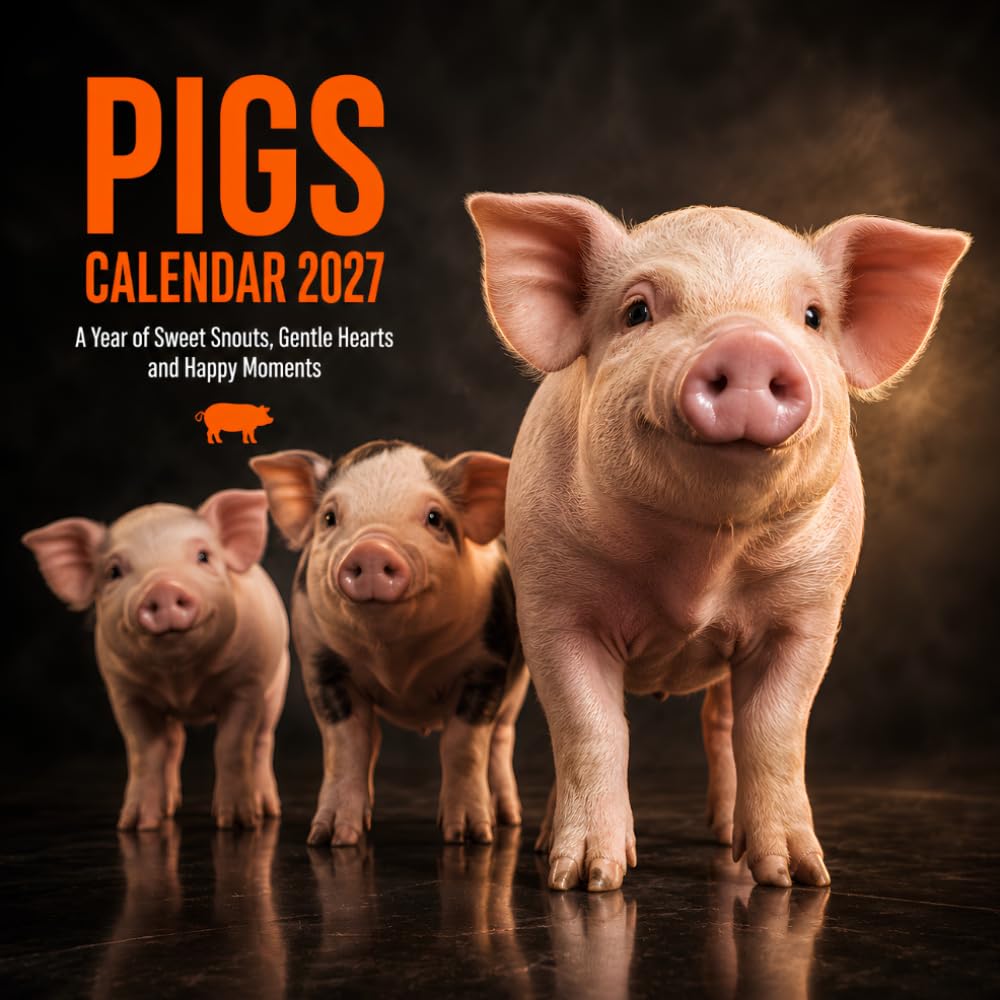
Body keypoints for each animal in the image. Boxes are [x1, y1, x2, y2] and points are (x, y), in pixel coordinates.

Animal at [22, 491, 289, 830]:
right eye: (113, 572)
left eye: (203, 556)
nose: (163, 588)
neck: (181, 681)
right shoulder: (126, 694)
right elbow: (145, 752)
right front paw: (135, 825)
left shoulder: (246, 685)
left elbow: (231, 744)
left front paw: (237, 823)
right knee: (174, 744)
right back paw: (169, 808)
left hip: (277, 682)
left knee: (262, 740)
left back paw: (267, 810)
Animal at [250, 440, 528, 846]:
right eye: (329, 518)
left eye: (434, 518)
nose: (371, 550)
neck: (396, 661)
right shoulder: (321, 665)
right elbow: (346, 747)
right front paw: (329, 839)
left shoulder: (486, 664)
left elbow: (464, 747)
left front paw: (468, 837)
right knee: (373, 739)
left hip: (516, 687)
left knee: (501, 740)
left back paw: (507, 819)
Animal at [467, 192, 970, 891]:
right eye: (637, 311)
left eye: (811, 317)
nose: (749, 344)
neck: (701, 560)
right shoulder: (553, 606)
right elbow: (588, 724)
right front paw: (588, 879)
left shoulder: (810, 614)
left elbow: (775, 730)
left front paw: (800, 878)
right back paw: (538, 842)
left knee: (722, 723)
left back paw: (730, 840)